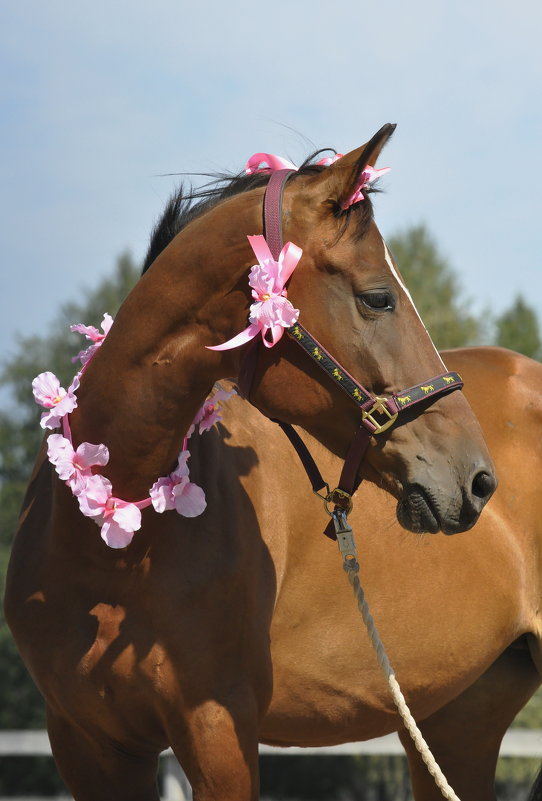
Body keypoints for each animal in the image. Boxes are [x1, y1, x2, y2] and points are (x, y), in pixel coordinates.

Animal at [4, 120, 540, 800]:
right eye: (378, 298)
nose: (477, 480)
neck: (109, 543)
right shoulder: (87, 744)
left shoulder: (217, 729)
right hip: (456, 718)